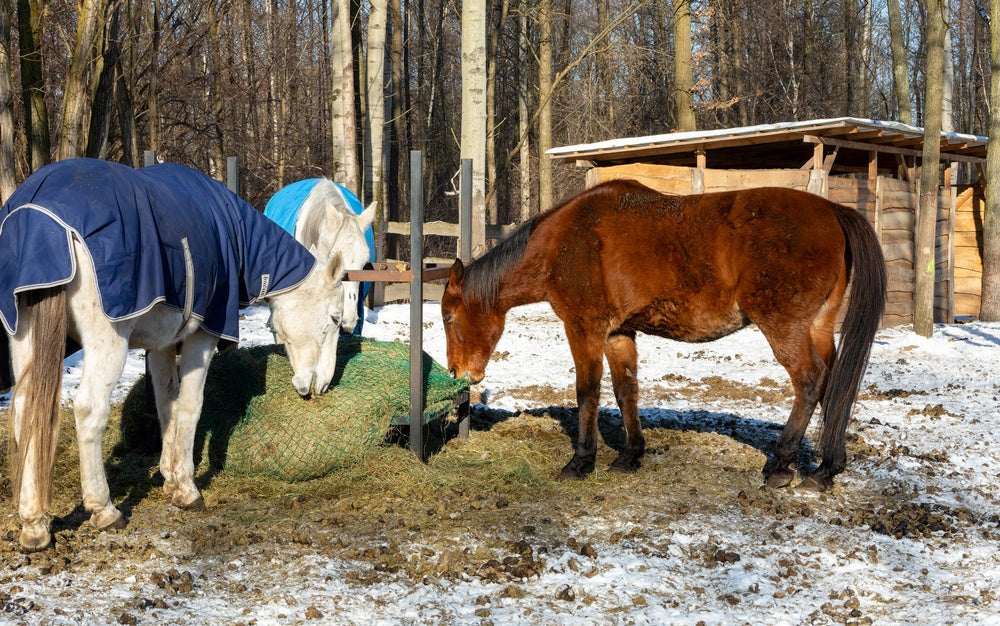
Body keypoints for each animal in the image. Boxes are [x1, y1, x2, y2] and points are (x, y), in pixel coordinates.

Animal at [0, 158, 346, 552]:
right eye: (335, 318)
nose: (321, 384)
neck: (231, 230)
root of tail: (38, 214)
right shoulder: (203, 336)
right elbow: (191, 406)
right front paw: (187, 488)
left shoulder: (161, 344)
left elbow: (167, 404)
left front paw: (170, 477)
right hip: (107, 340)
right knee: (89, 410)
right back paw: (104, 509)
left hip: (24, 338)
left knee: (24, 410)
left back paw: (33, 524)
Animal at [441, 180, 886, 491]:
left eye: (447, 316)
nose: (458, 372)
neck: (563, 242)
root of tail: (832, 209)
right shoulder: (618, 333)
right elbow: (626, 390)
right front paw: (630, 455)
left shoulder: (584, 328)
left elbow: (587, 392)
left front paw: (582, 461)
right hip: (818, 327)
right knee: (834, 386)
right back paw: (826, 469)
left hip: (785, 327)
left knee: (810, 381)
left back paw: (780, 465)